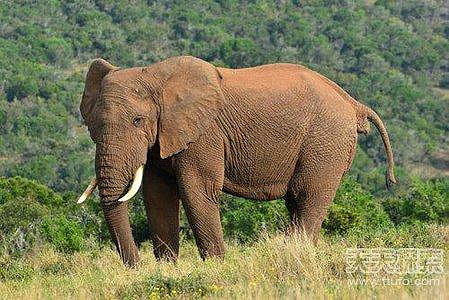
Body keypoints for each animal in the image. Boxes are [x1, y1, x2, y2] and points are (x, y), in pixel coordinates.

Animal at [77, 56, 396, 268]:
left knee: (309, 196)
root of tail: (353, 103)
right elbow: (158, 195)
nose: (136, 266)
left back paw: (294, 255)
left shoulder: (204, 135)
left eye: (137, 121)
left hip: (326, 143)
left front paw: (216, 268)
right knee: (296, 200)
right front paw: (167, 270)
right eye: (93, 125)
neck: (157, 78)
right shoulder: (162, 139)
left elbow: (197, 191)